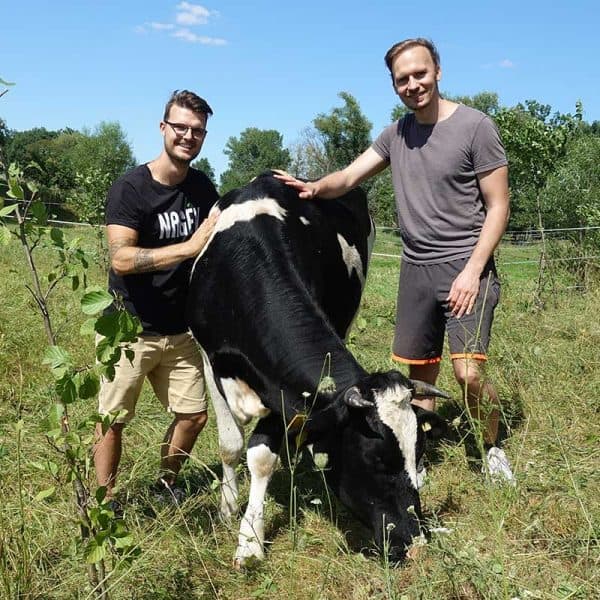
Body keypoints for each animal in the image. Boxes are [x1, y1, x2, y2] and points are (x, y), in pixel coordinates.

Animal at [188, 171, 446, 564]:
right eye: (376, 460)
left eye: (418, 454)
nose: (415, 544)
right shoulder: (209, 358)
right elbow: (232, 446)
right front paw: (233, 516)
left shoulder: (285, 388)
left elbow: (262, 454)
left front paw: (249, 538)